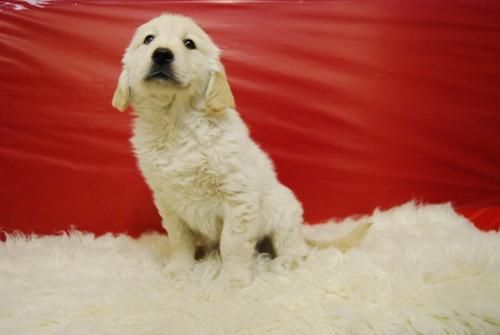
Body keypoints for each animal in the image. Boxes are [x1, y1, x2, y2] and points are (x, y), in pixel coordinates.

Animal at [113, 13, 370, 286]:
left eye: (189, 44)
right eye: (148, 39)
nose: (161, 54)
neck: (176, 122)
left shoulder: (238, 197)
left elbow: (233, 243)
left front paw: (233, 280)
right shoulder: (167, 199)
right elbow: (180, 239)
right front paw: (179, 269)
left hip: (284, 212)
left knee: (295, 249)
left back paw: (285, 261)